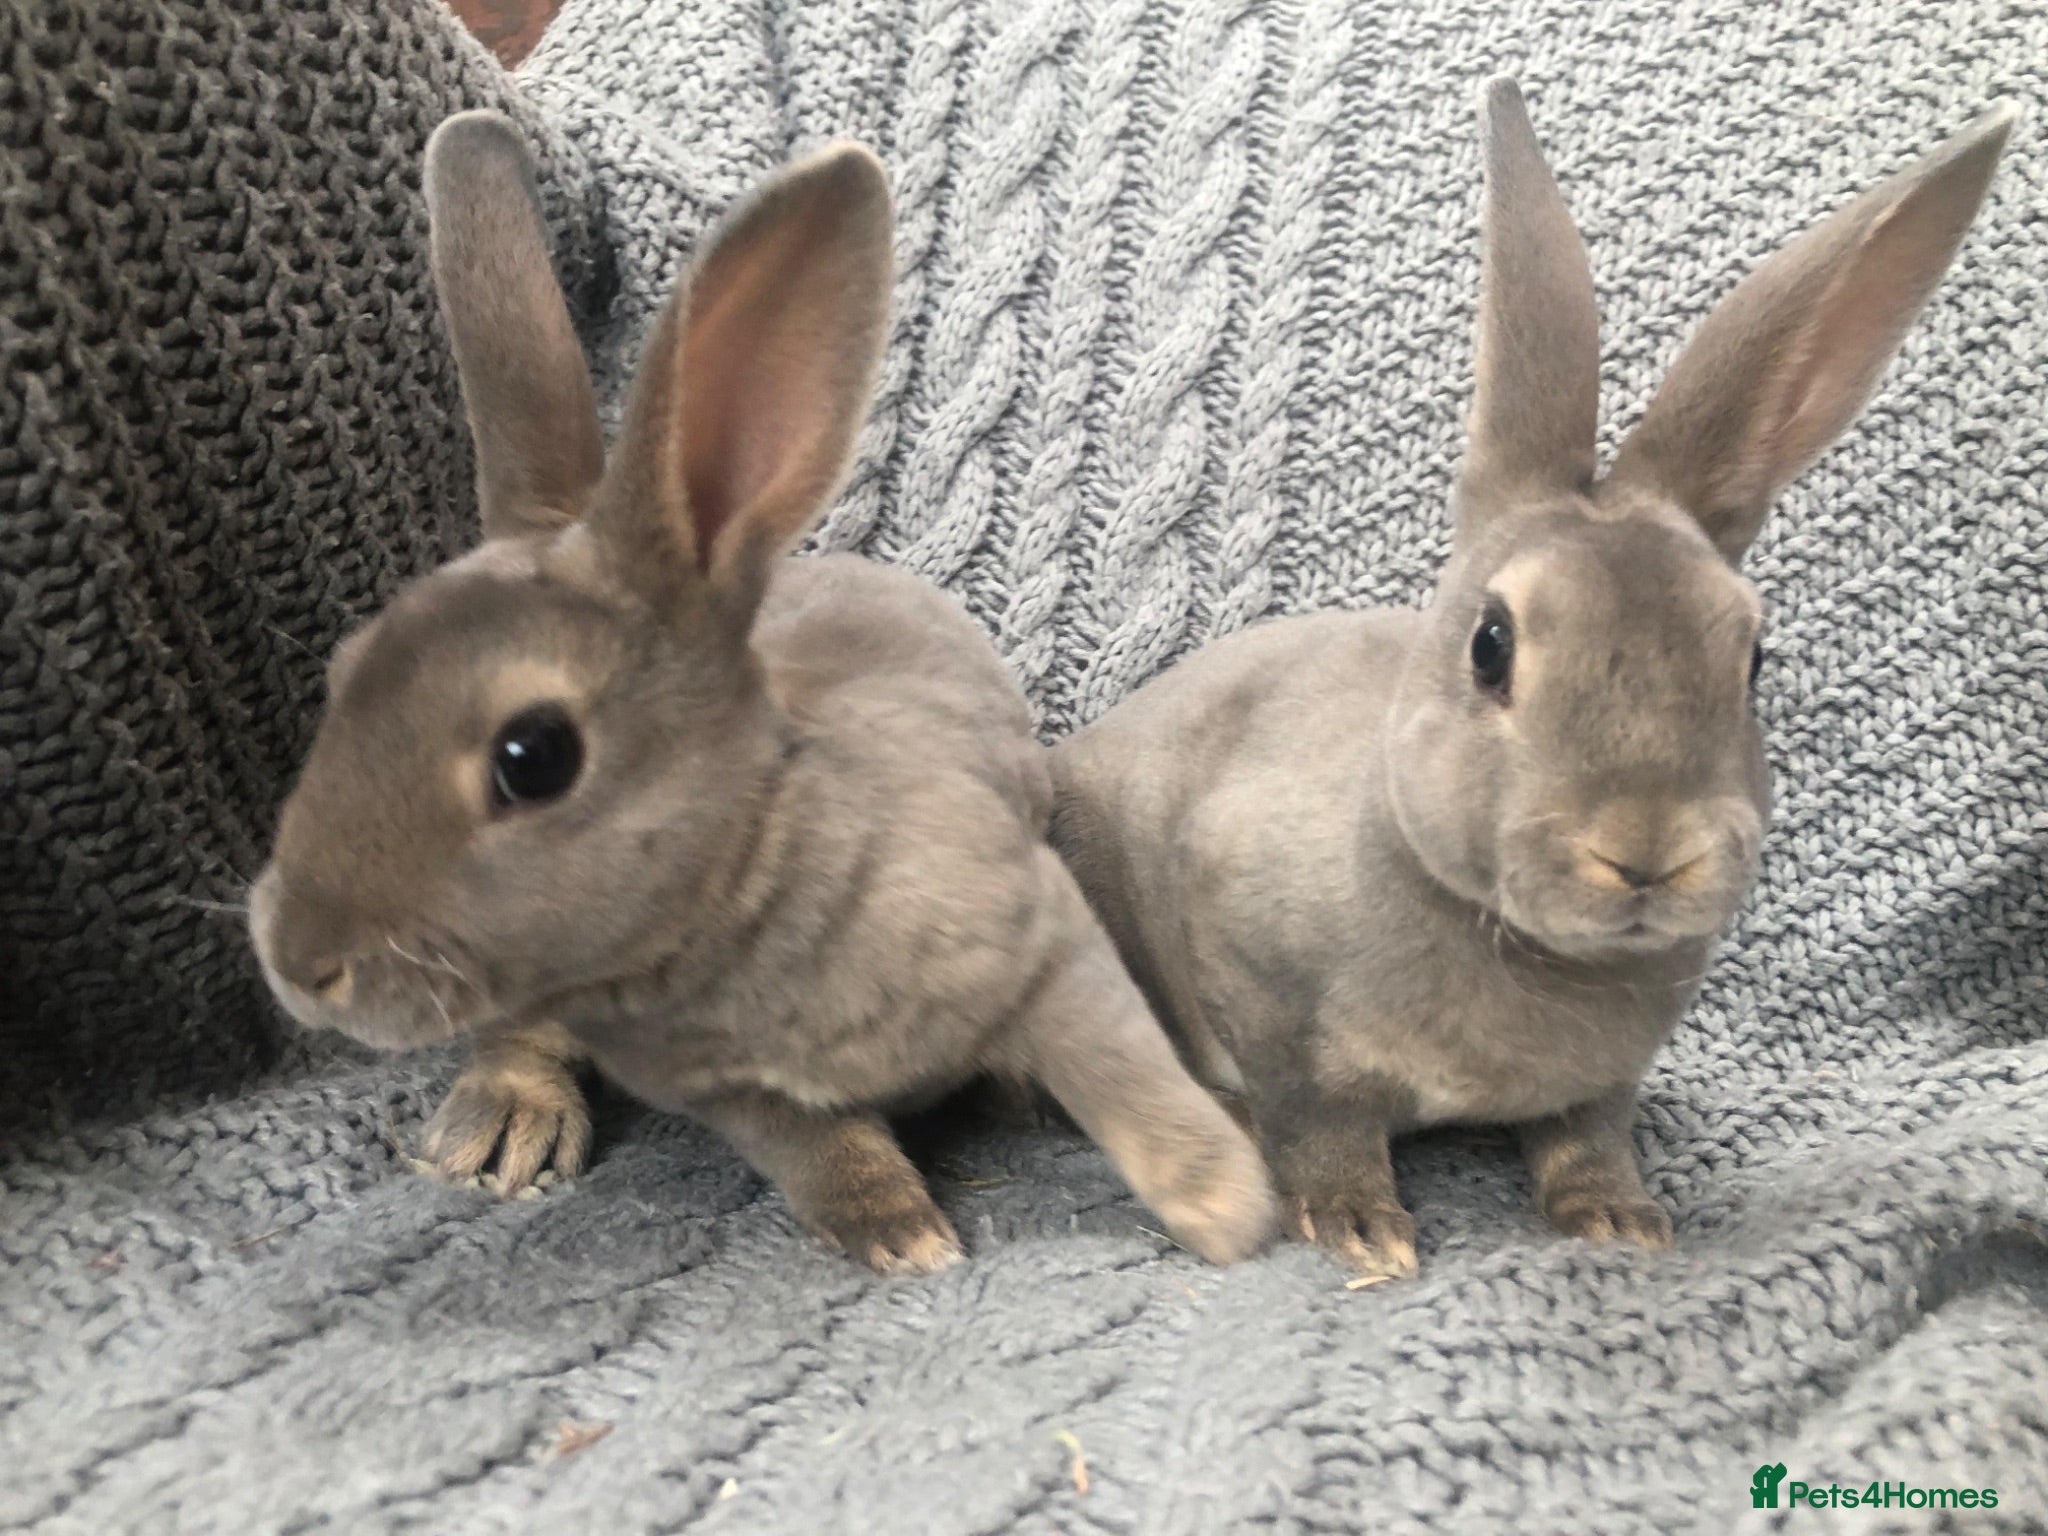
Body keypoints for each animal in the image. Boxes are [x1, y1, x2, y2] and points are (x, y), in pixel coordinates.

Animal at [246, 111, 1278, 1274]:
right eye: (343, 676)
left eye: (533, 756)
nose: (296, 963)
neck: (734, 897)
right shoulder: (744, 1098)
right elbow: (818, 1153)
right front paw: (898, 1234)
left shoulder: (1044, 939)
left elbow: (1127, 1084)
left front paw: (1230, 1209)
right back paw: (504, 1122)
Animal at [1049, 79, 2014, 1278]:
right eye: (1491, 646)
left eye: (1751, 657)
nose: (1646, 852)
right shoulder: (1265, 1000)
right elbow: (1318, 1120)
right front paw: (1361, 1229)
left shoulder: (1599, 1084)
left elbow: (1584, 1135)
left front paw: (1619, 1218)